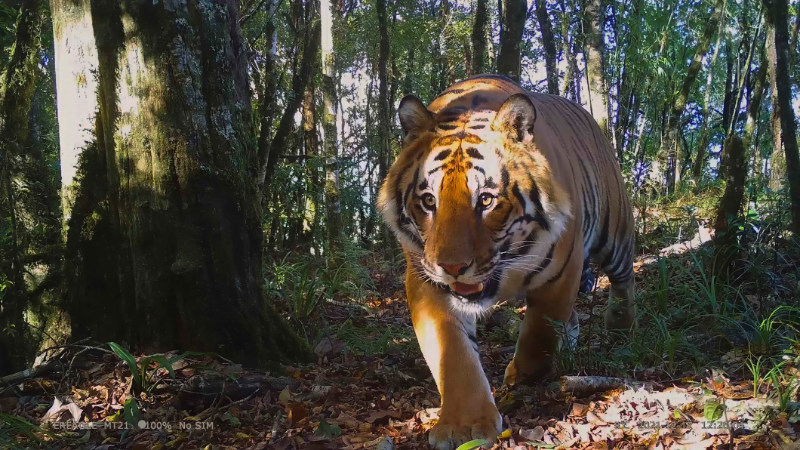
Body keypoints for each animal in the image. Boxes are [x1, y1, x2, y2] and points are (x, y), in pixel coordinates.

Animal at [378, 74, 636, 450]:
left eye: (486, 200)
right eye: (428, 201)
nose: (452, 267)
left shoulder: (563, 269)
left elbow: (540, 332)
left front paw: (521, 375)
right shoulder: (425, 279)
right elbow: (452, 352)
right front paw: (464, 426)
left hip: (614, 230)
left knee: (624, 278)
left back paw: (620, 325)